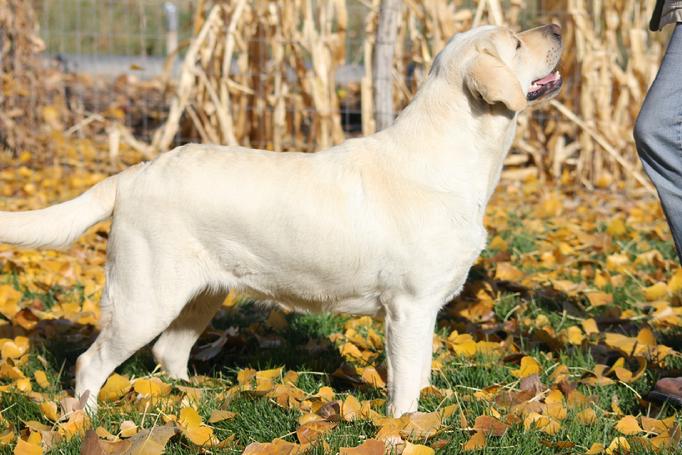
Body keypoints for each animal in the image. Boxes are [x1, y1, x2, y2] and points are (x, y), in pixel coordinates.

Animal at [0, 24, 556, 416]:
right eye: (514, 41)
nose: (554, 26)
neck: (451, 157)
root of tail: (136, 172)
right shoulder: (409, 306)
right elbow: (404, 384)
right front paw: (406, 428)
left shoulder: (428, 309)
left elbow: (420, 371)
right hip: (145, 298)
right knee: (92, 361)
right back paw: (87, 419)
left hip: (201, 295)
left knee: (169, 352)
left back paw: (195, 403)